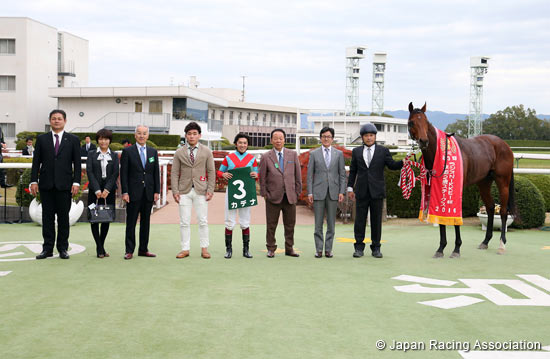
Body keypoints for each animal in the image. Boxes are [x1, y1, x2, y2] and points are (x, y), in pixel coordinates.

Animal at [408, 102, 520, 258]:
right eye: (412, 122)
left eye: (425, 121)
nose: (424, 141)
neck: (441, 153)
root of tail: (504, 145)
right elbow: (442, 216)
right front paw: (441, 248)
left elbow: (456, 218)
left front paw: (456, 248)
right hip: (484, 183)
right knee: (491, 207)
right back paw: (485, 241)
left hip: (502, 182)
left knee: (503, 211)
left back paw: (502, 244)